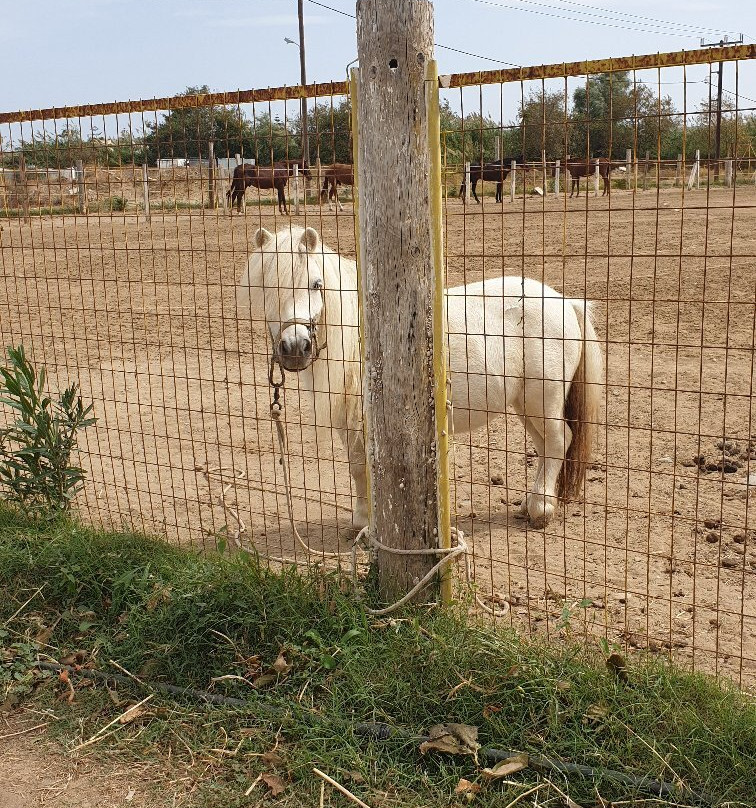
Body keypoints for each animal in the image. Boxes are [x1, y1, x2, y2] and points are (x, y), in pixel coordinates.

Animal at [236, 227, 604, 532]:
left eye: (316, 283)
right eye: (267, 287)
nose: (295, 347)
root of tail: (565, 302)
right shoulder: (348, 421)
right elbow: (358, 467)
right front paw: (362, 521)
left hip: (543, 399)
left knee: (558, 442)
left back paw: (541, 509)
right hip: (525, 405)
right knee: (544, 447)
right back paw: (530, 504)